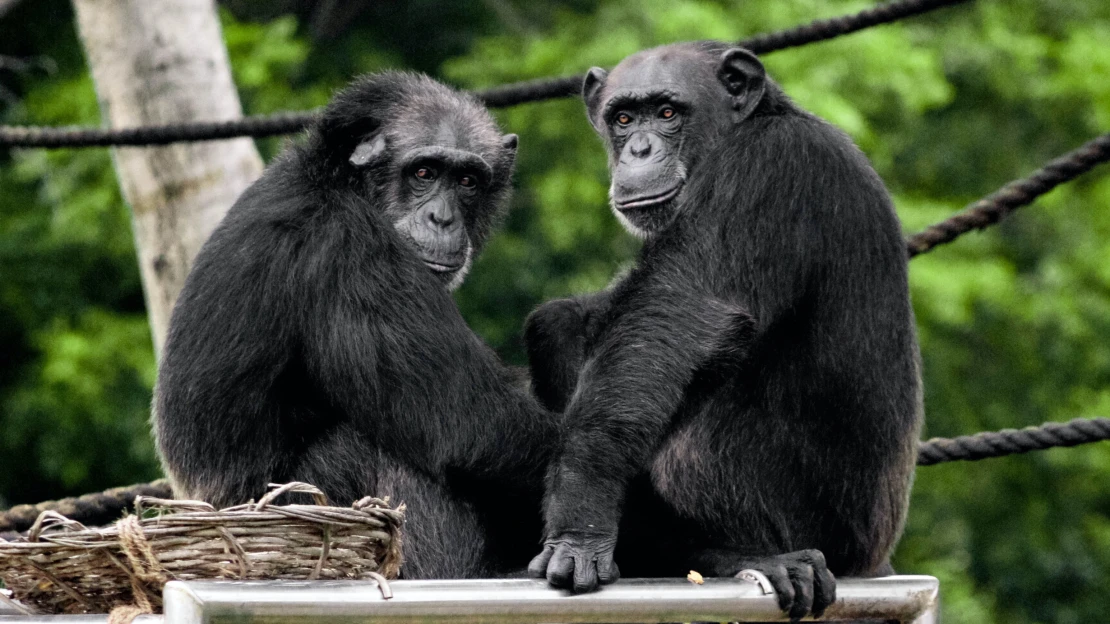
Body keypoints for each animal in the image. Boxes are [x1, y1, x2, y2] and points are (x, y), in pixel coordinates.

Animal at [153, 72, 559, 577]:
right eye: (423, 173)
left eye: (467, 180)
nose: (442, 217)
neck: (342, 183)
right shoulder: (352, 253)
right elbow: (471, 422)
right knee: (377, 445)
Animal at [523, 42, 923, 617]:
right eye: (623, 118)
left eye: (668, 112)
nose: (639, 149)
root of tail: (873, 560)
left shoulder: (769, 168)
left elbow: (679, 316)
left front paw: (581, 517)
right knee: (557, 324)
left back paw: (735, 555)